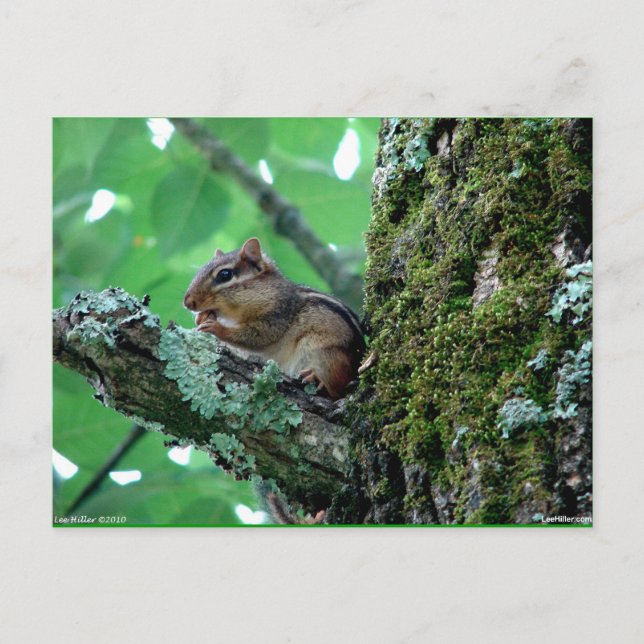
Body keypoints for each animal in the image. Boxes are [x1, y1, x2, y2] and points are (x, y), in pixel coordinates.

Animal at [183, 237, 365, 400]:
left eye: (224, 275)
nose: (187, 302)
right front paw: (200, 318)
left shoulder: (277, 315)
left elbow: (259, 336)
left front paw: (216, 327)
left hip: (326, 355)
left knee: (336, 388)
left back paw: (317, 378)